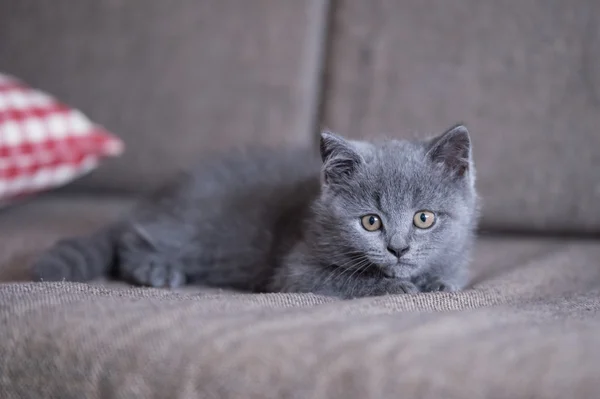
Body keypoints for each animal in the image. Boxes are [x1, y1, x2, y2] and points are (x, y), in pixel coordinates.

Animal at [31, 125, 478, 300]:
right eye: (371, 221)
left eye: (424, 218)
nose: (398, 249)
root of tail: (164, 195)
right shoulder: (294, 270)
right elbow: (343, 280)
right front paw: (396, 287)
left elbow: (447, 275)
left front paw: (435, 282)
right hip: (201, 234)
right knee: (134, 236)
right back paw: (156, 270)